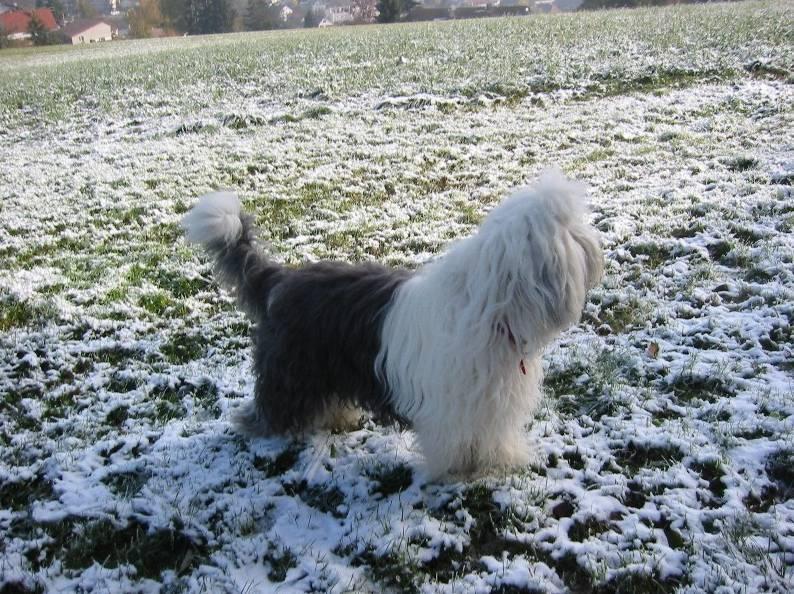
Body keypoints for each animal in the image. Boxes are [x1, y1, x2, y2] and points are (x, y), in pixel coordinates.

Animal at [181, 169, 600, 474]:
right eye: (569, 231)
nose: (597, 248)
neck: (492, 304)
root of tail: (282, 280)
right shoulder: (453, 404)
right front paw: (456, 474)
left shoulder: (491, 399)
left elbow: (493, 435)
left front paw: (500, 463)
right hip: (292, 370)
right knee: (273, 405)